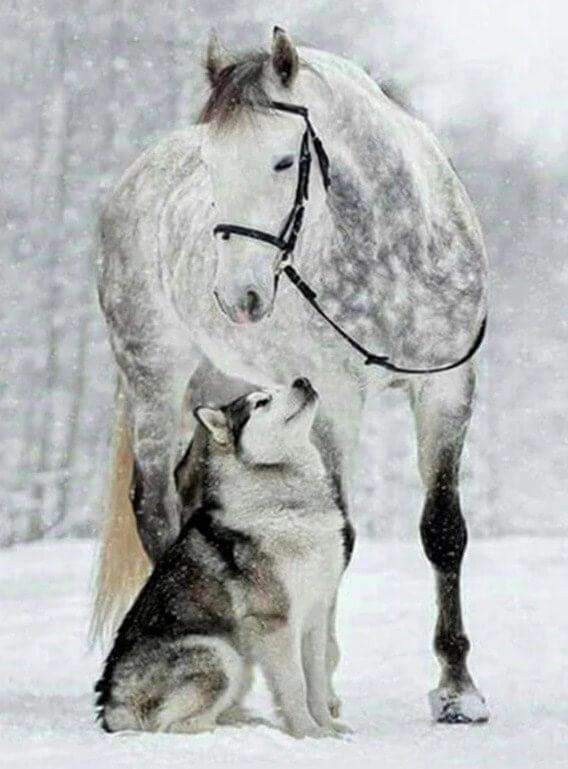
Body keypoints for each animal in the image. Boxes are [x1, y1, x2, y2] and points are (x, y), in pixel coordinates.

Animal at [95, 377, 355, 738]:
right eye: (262, 402)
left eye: (281, 385)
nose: (302, 380)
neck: (289, 504)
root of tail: (111, 707)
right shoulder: (276, 622)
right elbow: (295, 686)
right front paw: (309, 733)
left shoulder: (316, 613)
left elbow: (315, 682)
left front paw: (328, 728)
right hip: (222, 654)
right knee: (174, 725)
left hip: (239, 663)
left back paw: (247, 720)